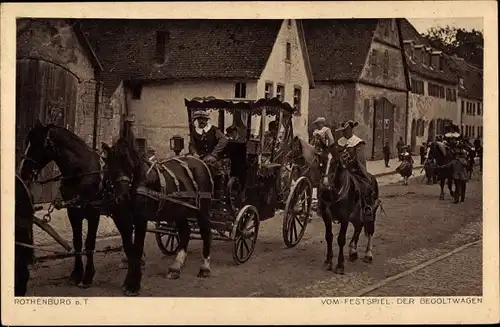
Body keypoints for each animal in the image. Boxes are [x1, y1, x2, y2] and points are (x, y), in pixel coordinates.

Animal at [19, 120, 105, 288]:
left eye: (37, 144)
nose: (23, 172)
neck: (82, 172)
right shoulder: (73, 211)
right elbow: (77, 242)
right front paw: (76, 274)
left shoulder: (94, 213)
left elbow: (89, 243)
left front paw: (88, 276)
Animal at [104, 128, 214, 298]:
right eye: (110, 164)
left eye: (130, 164)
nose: (122, 197)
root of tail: (200, 162)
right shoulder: (122, 220)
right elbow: (129, 249)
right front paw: (129, 281)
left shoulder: (140, 219)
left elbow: (137, 249)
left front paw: (134, 285)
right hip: (179, 211)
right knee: (185, 232)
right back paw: (176, 266)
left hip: (203, 209)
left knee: (206, 233)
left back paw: (205, 267)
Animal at [290, 137, 378, 276]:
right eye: (322, 161)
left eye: (336, 162)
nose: (325, 184)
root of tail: (371, 177)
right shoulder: (326, 215)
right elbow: (329, 236)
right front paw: (328, 261)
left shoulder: (345, 217)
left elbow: (341, 239)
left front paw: (340, 265)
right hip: (355, 215)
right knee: (358, 227)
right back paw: (353, 251)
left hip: (370, 212)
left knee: (369, 230)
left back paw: (368, 254)